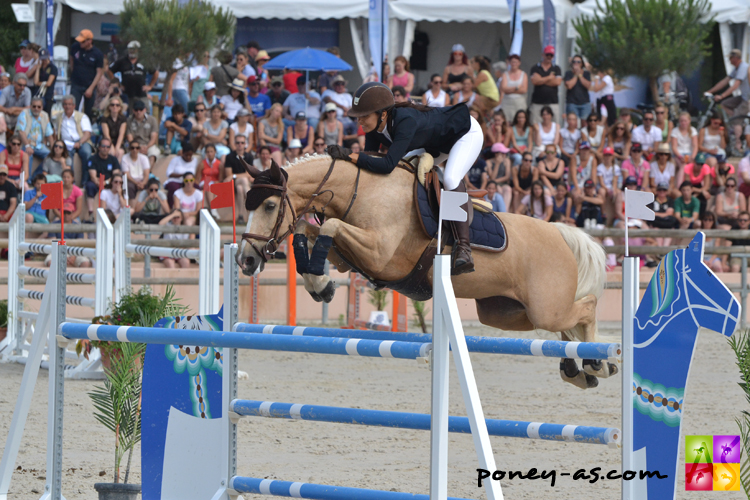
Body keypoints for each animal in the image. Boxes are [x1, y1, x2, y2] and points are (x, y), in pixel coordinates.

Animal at [238, 154, 612, 388]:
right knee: (568, 325)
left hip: (544, 307)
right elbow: (308, 228)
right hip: (506, 313)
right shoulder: (350, 257)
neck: (363, 191)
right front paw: (321, 285)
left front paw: (321, 284)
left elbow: (327, 225)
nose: (246, 260)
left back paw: (597, 362)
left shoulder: (380, 255)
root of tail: (559, 232)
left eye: (269, 205)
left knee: (586, 308)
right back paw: (578, 369)